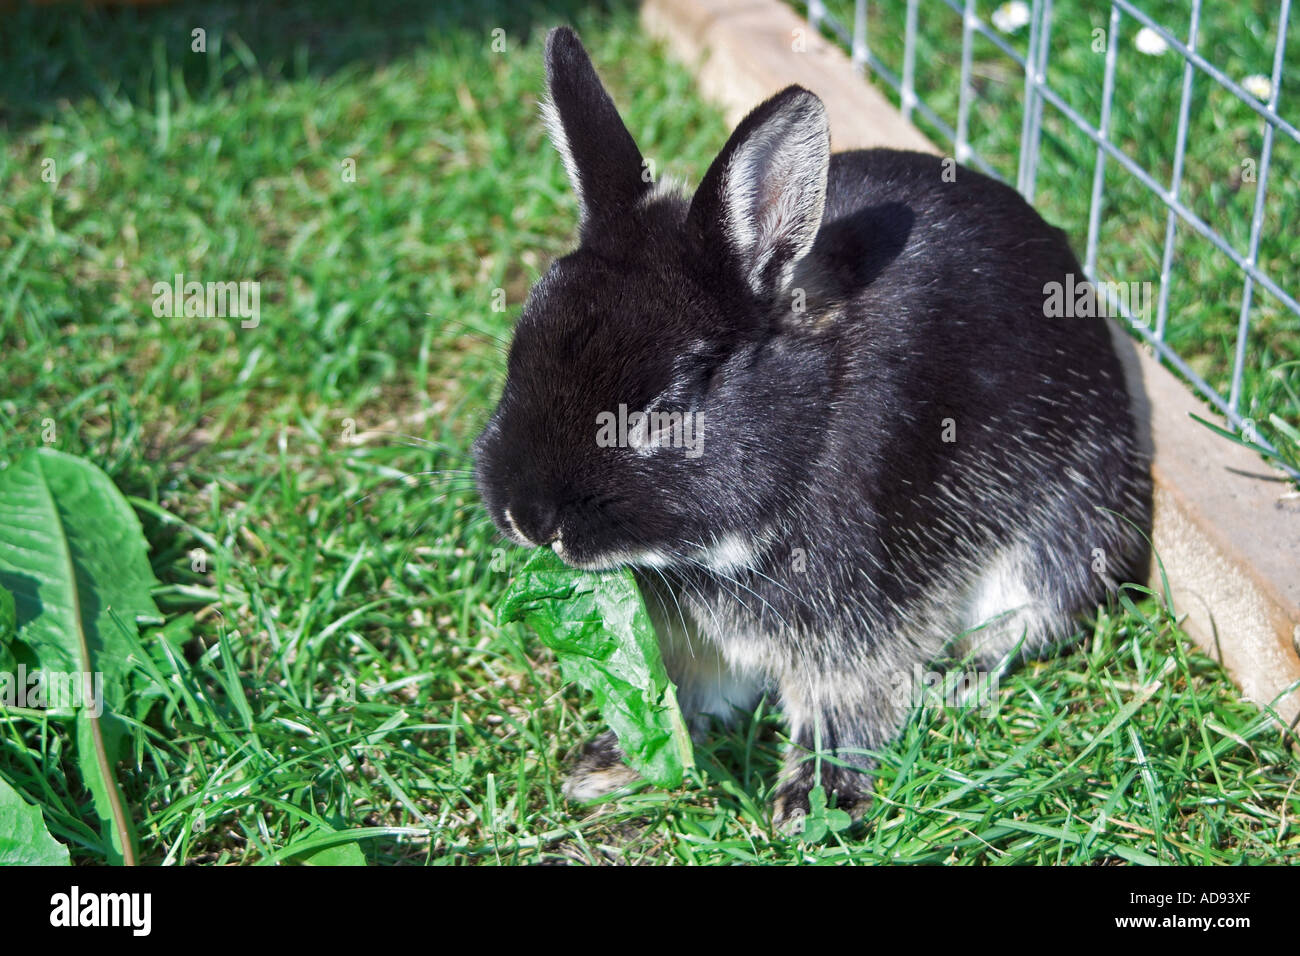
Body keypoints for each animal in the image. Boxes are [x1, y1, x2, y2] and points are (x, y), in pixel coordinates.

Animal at [473, 26, 1152, 828]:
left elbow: (847, 704)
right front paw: (612, 764)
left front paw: (813, 802)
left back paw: (958, 676)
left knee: (1043, 612)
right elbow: (689, 692)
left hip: (1062, 519)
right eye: (518, 352)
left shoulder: (862, 616)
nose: (527, 517)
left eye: (667, 406)